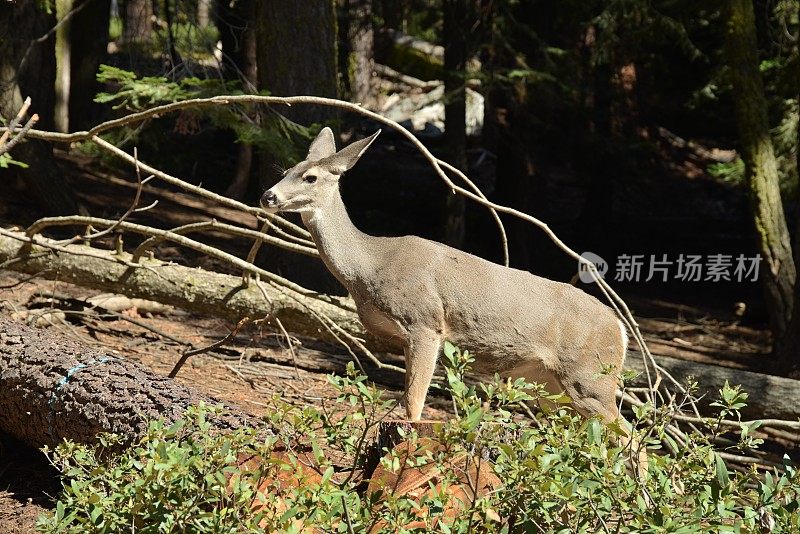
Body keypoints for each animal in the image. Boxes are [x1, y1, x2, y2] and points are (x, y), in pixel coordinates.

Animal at [260, 129, 632, 436]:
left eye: (310, 177)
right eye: (285, 171)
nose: (268, 196)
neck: (369, 266)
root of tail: (620, 328)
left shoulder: (425, 321)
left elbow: (413, 405)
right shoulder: (405, 336)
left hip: (590, 375)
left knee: (628, 433)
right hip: (548, 381)